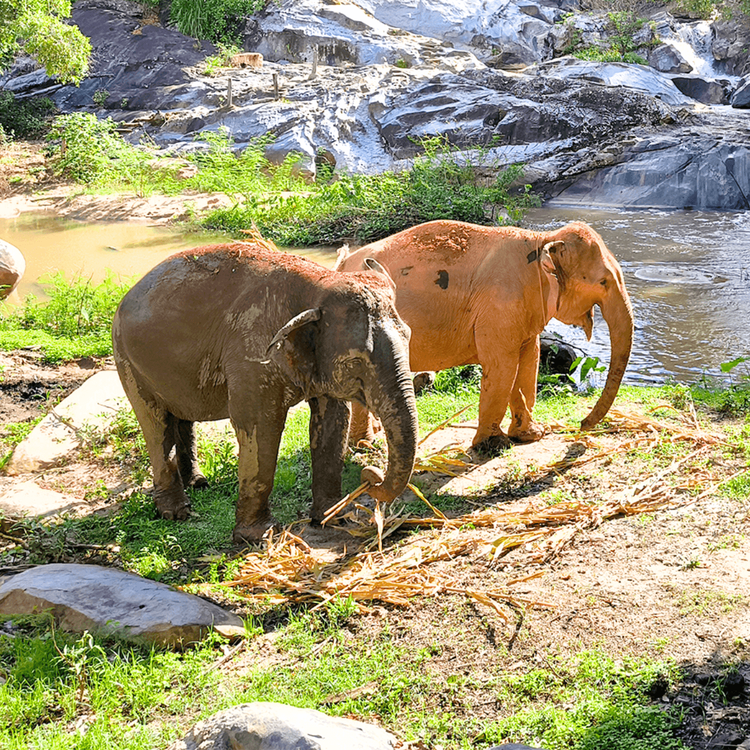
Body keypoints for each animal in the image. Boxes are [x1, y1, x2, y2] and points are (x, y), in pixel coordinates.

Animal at [112, 240, 419, 543]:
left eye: (409, 337)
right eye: (355, 361)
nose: (370, 476)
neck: (317, 286)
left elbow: (333, 420)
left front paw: (333, 519)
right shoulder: (251, 356)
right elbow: (260, 425)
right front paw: (259, 536)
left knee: (180, 415)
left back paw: (198, 483)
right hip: (127, 359)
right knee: (155, 423)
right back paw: (176, 513)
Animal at [334, 220, 633, 452]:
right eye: (603, 282)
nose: (581, 426)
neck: (543, 240)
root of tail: (341, 264)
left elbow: (528, 361)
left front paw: (530, 435)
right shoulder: (499, 304)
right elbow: (502, 366)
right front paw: (494, 445)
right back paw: (366, 445)